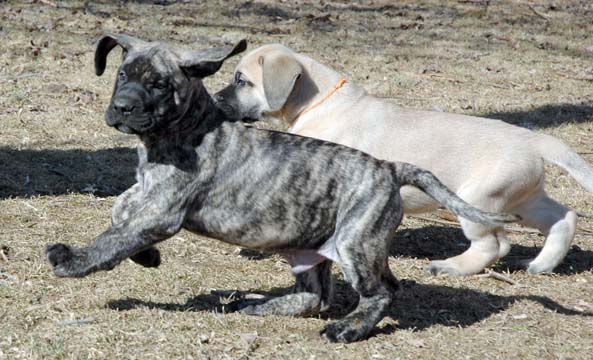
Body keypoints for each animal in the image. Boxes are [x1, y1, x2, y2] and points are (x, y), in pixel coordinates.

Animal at [46, 33, 520, 344]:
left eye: (159, 84)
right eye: (122, 74)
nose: (122, 107)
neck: (182, 130)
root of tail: (390, 167)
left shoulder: (163, 210)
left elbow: (114, 236)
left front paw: (74, 261)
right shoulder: (148, 195)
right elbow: (120, 210)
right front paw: (146, 256)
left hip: (355, 242)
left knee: (380, 292)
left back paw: (348, 329)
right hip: (315, 250)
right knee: (317, 296)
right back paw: (257, 305)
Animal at [214, 44, 592, 276]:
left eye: (241, 81)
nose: (216, 100)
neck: (317, 101)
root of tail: (535, 139)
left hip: (477, 200)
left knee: (494, 245)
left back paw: (451, 267)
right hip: (522, 199)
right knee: (564, 217)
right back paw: (542, 264)